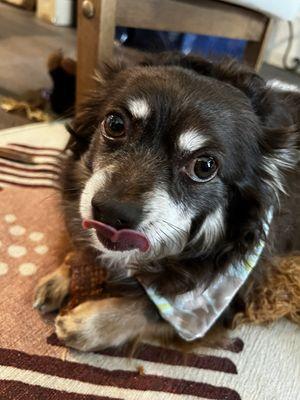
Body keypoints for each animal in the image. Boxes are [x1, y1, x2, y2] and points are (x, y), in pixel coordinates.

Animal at [33, 52, 300, 350]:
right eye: (115, 125)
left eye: (205, 167)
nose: (111, 212)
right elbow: (82, 244)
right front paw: (61, 276)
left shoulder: (208, 309)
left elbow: (147, 308)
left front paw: (88, 324)